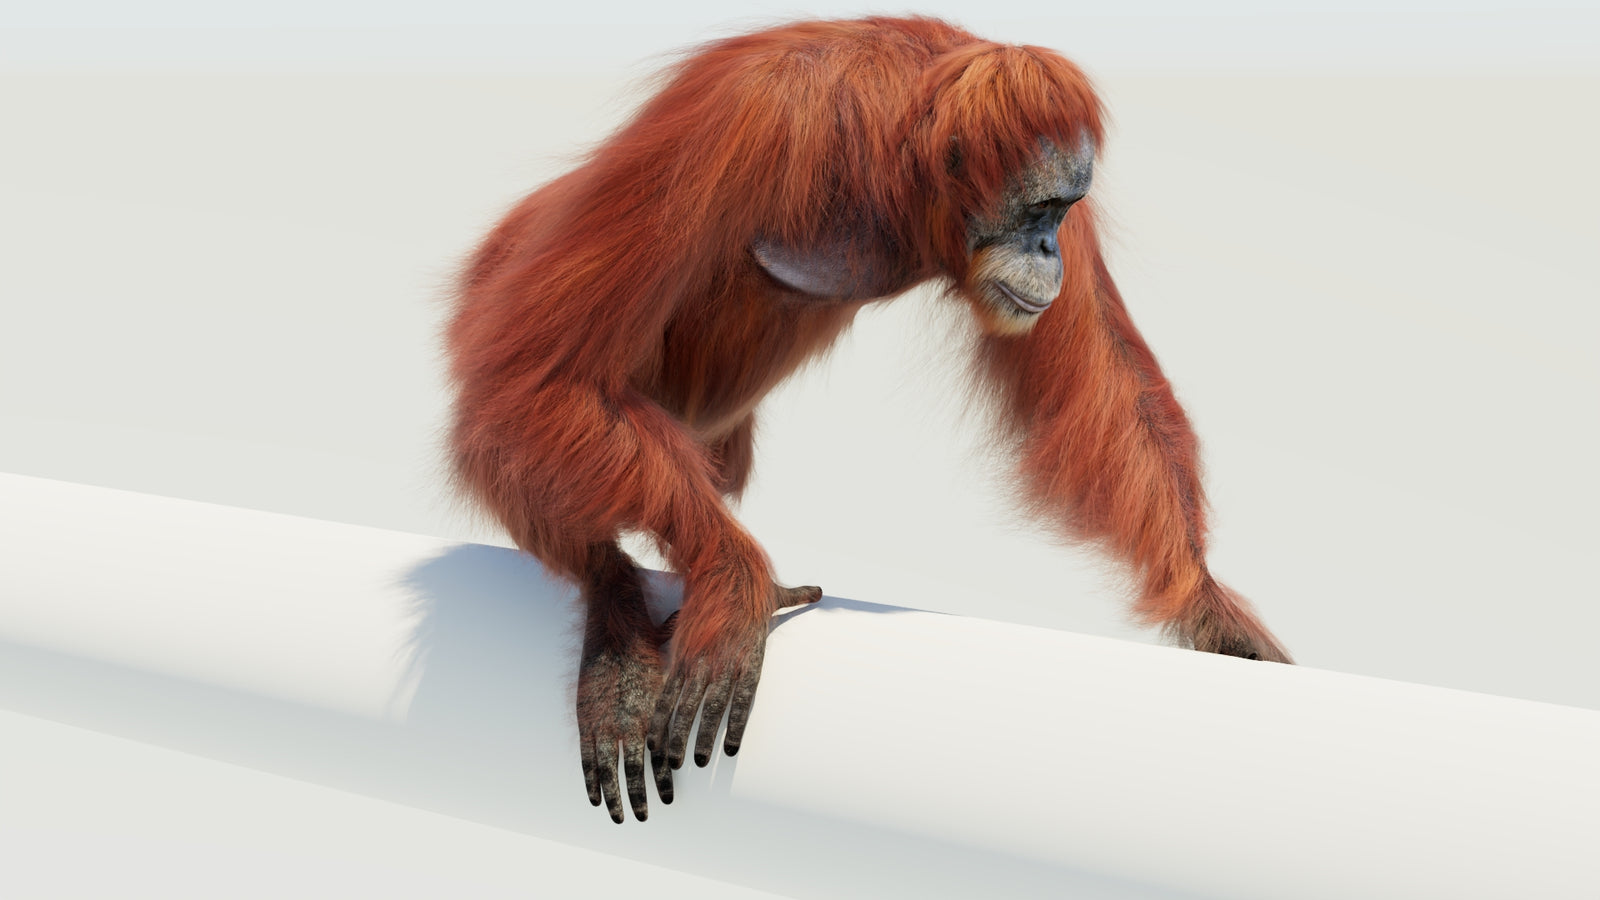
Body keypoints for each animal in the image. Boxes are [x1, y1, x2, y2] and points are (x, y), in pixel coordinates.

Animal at [445, 16, 1292, 824]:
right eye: (1040, 208)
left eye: (1063, 212)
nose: (1049, 248)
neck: (897, 155)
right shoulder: (746, 117)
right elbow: (545, 373)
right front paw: (734, 577)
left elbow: (1107, 380)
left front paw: (1210, 609)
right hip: (500, 286)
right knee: (512, 406)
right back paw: (615, 622)